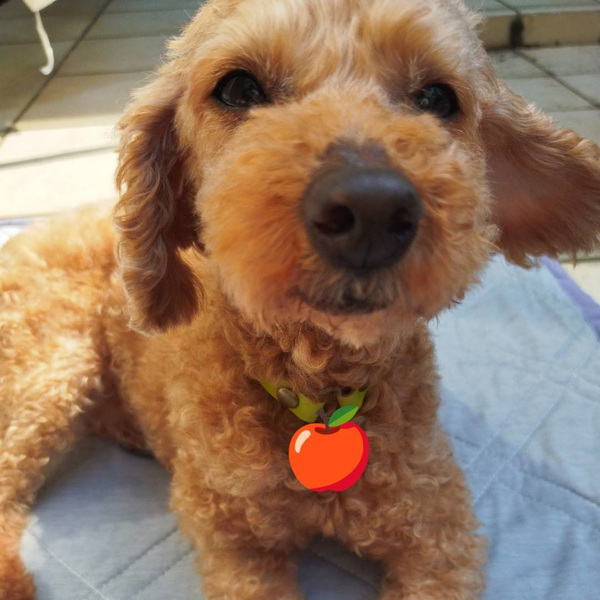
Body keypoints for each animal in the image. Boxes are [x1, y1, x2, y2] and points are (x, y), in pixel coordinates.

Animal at [1, 0, 599, 598]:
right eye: (238, 87)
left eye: (436, 97)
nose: (371, 208)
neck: (317, 388)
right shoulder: (233, 541)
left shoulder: (439, 530)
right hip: (53, 371)